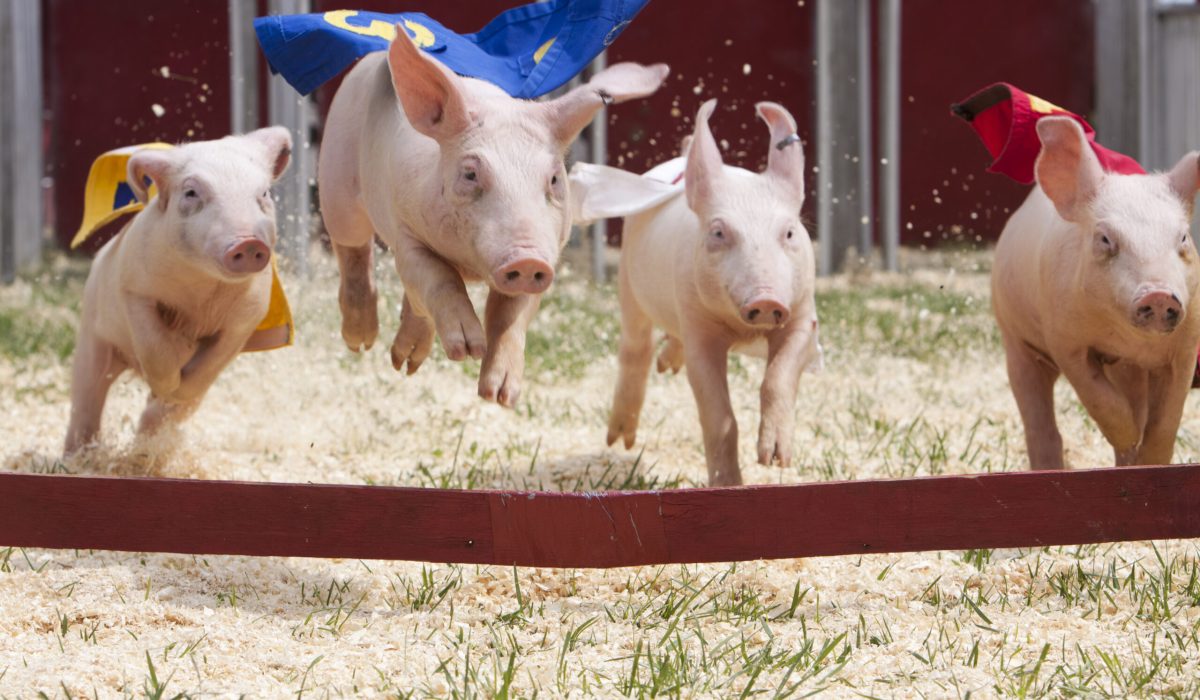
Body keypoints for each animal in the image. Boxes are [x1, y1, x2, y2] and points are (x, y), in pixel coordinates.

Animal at [63, 126, 292, 453]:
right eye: (191, 192)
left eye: (264, 194)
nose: (248, 243)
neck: (202, 294)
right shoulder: (134, 289)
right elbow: (155, 346)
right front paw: (170, 374)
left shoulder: (246, 318)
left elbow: (208, 366)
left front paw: (174, 389)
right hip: (92, 337)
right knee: (87, 397)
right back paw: (78, 455)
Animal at [316, 27, 667, 408]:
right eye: (470, 174)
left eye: (554, 179)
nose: (526, 258)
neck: (472, 266)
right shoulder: (406, 231)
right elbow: (438, 278)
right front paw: (466, 348)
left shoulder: (547, 255)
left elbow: (510, 314)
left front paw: (500, 396)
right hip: (336, 174)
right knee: (352, 247)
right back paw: (361, 342)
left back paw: (404, 363)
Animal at [573, 100, 820, 487]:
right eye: (718, 233)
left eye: (790, 232)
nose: (766, 299)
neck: (743, 331)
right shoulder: (697, 324)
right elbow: (718, 414)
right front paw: (729, 485)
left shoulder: (801, 314)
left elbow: (779, 376)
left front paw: (776, 461)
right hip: (630, 283)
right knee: (636, 347)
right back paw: (620, 440)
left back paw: (667, 366)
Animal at [993, 116, 1200, 470]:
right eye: (1105, 238)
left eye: (1183, 237)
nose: (1158, 294)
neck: (1130, 343)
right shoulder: (1064, 339)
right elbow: (1099, 398)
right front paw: (1129, 436)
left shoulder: (1186, 347)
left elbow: (1165, 421)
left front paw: (1149, 461)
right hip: (1016, 342)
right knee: (1041, 426)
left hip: (1131, 372)